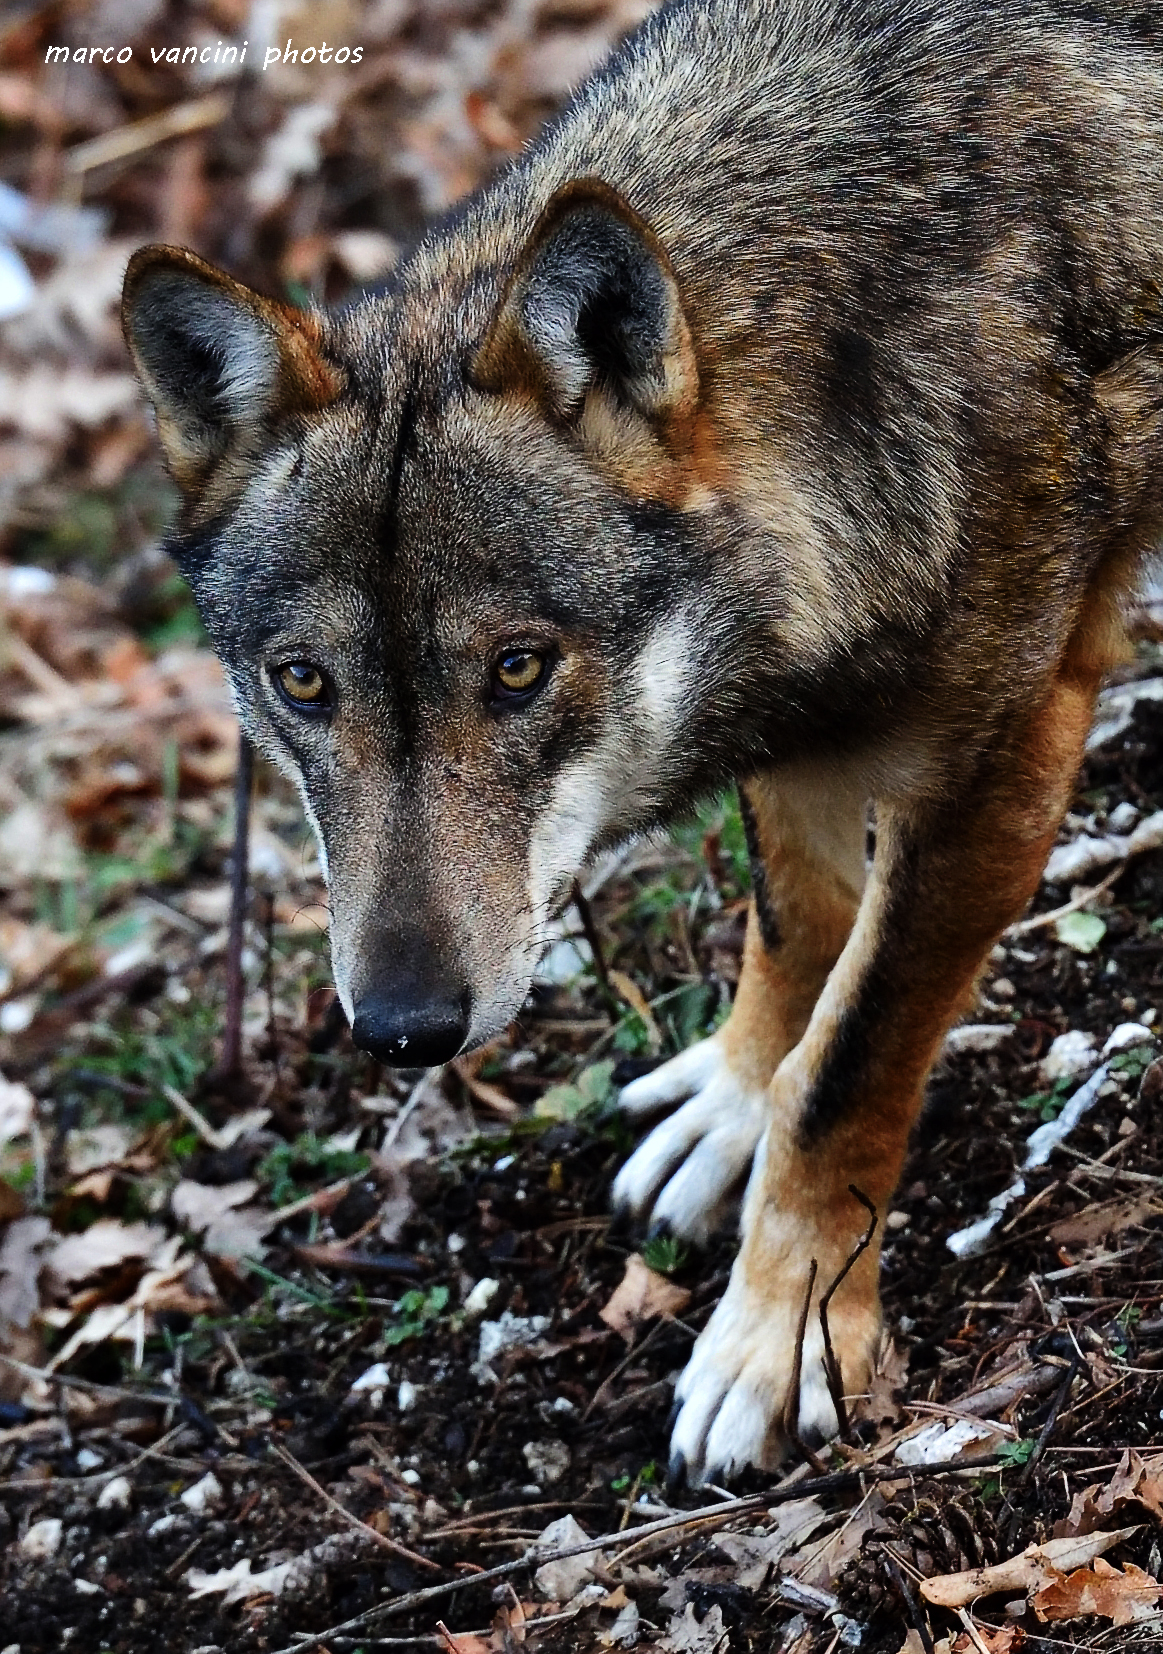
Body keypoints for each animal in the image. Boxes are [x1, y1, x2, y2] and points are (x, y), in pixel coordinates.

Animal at [122, 0, 1163, 1483]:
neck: (869, 349)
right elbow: (793, 934)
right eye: (304, 684)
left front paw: (782, 1338)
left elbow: (841, 1075)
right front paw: (727, 1103)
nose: (401, 1028)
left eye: (515, 668)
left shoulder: (991, 775)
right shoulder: (804, 722)